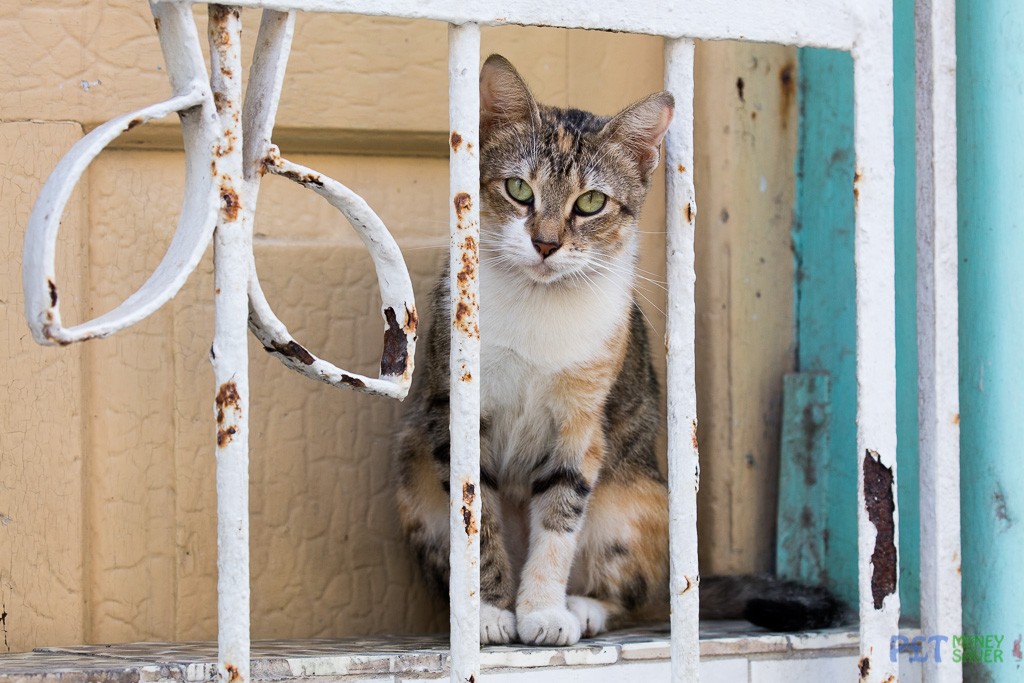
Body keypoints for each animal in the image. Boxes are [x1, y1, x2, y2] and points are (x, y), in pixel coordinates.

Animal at [391, 54, 839, 647]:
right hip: (415, 477)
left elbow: (561, 514)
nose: (545, 243)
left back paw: (583, 607)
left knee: (638, 595)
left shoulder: (583, 421)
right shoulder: (455, 411)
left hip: (635, 502)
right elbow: (476, 518)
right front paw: (488, 610)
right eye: (518, 189)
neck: (540, 303)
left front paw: (542, 611)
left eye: (590, 202)